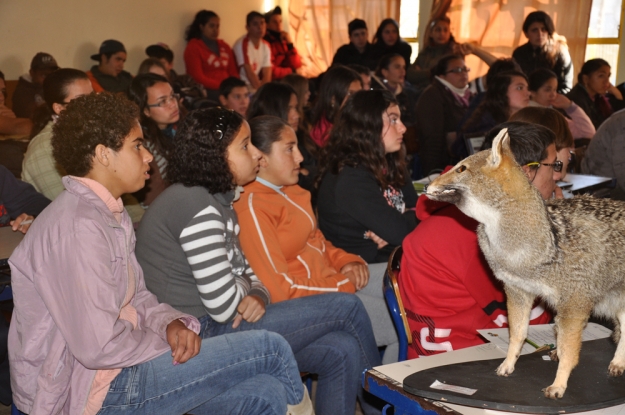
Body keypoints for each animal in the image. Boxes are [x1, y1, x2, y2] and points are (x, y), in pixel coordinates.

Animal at [426, 129, 624, 400]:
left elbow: (570, 352)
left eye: (461, 169)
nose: (426, 186)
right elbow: (517, 336)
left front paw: (559, 384)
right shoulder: (518, 293)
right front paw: (508, 364)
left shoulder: (574, 305)